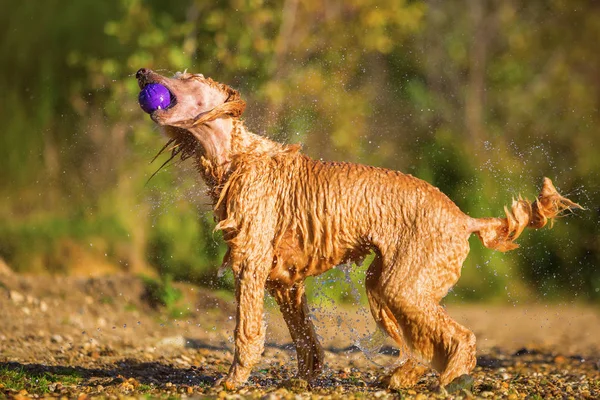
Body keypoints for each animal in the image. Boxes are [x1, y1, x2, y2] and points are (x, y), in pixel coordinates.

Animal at [137, 69, 580, 390]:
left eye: (189, 77)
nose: (141, 73)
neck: (235, 157)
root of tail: (463, 218)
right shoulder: (284, 281)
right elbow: (305, 338)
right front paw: (305, 379)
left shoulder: (250, 263)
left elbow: (246, 331)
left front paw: (230, 382)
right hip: (386, 284)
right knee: (424, 344)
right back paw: (399, 378)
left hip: (402, 286)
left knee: (458, 338)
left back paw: (441, 379)